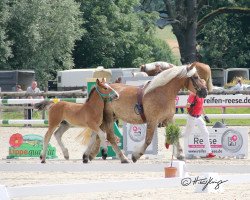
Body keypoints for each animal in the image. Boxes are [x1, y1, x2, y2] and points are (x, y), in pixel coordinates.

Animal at [78, 61, 213, 163]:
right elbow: (148, 140)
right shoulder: (152, 121)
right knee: (109, 137)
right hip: (109, 118)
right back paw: (123, 158)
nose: (204, 92)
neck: (162, 93)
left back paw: (88, 156)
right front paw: (135, 155)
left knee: (97, 134)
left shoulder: (168, 119)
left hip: (108, 118)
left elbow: (175, 136)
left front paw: (180, 155)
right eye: (195, 77)